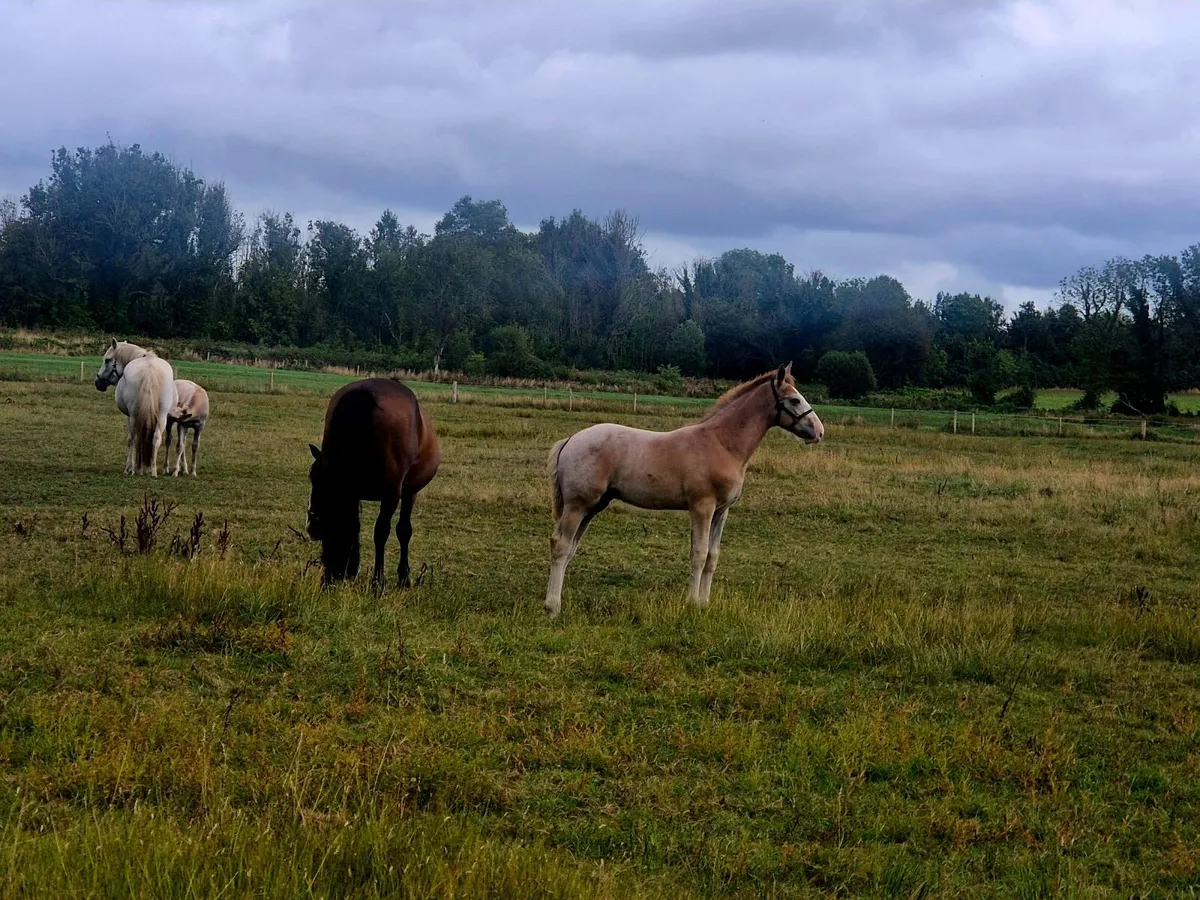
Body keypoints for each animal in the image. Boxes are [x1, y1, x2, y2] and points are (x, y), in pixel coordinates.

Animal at [94, 339, 178, 476]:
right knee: (156, 439)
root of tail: (149, 369)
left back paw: (131, 468)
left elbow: (131, 440)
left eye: (107, 360)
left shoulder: (129, 416)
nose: (98, 383)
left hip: (134, 416)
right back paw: (153, 470)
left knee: (133, 439)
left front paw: (130, 467)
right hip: (162, 417)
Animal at [306, 377, 441, 589]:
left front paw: (391, 579)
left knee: (384, 531)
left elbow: (395, 530)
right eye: (311, 477)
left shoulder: (400, 493)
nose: (312, 527)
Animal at [543, 362, 824, 617]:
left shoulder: (721, 511)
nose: (819, 432)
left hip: (593, 506)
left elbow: (712, 556)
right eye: (795, 400)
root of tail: (571, 440)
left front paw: (704, 603)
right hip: (578, 504)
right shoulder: (702, 506)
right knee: (561, 545)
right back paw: (552, 606)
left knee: (570, 547)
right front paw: (691, 604)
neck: (721, 443)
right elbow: (698, 554)